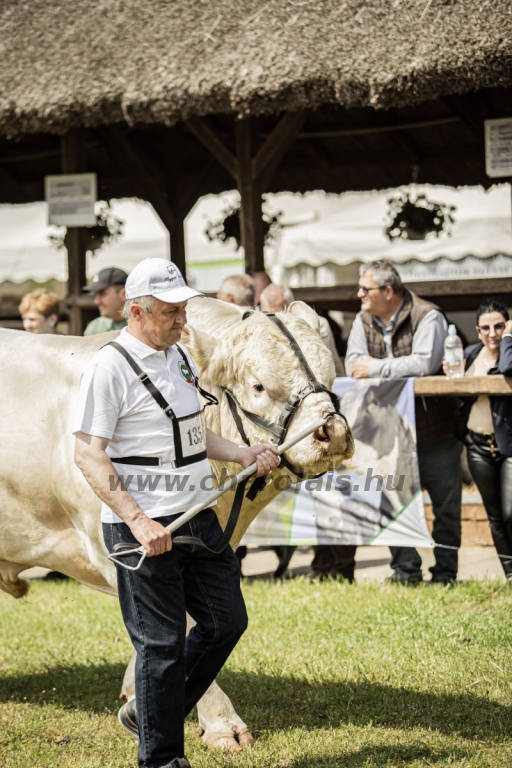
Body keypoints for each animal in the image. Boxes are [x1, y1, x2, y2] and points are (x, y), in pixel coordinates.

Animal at [0, 298, 352, 752]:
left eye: (330, 375)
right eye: (258, 386)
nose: (335, 431)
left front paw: (135, 693)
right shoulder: (117, 549)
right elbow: (178, 626)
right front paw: (221, 723)